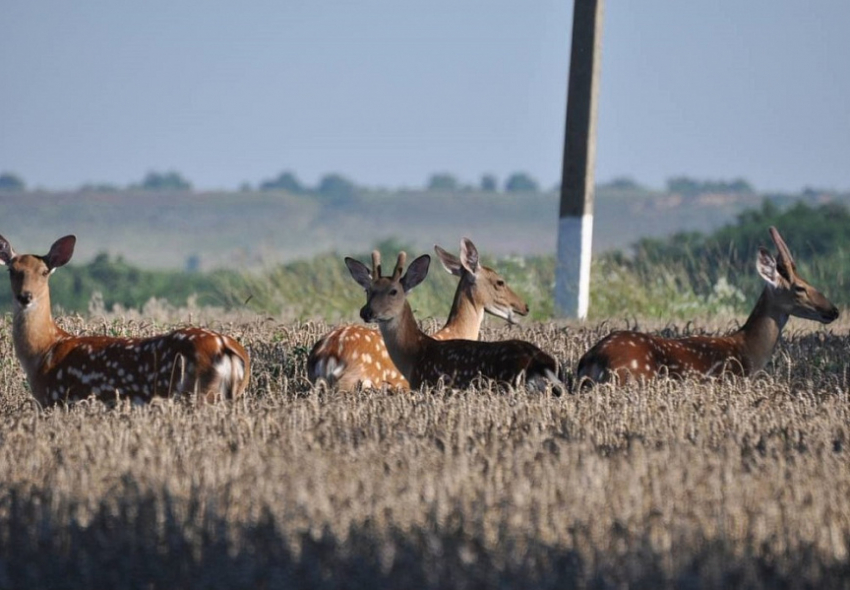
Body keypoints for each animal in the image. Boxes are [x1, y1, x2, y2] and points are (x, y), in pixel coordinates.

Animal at [0, 236, 250, 408]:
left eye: (44, 271)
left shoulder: (56, 399)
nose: (25, 296)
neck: (44, 351)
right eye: (12, 270)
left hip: (196, 394)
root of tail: (226, 347)